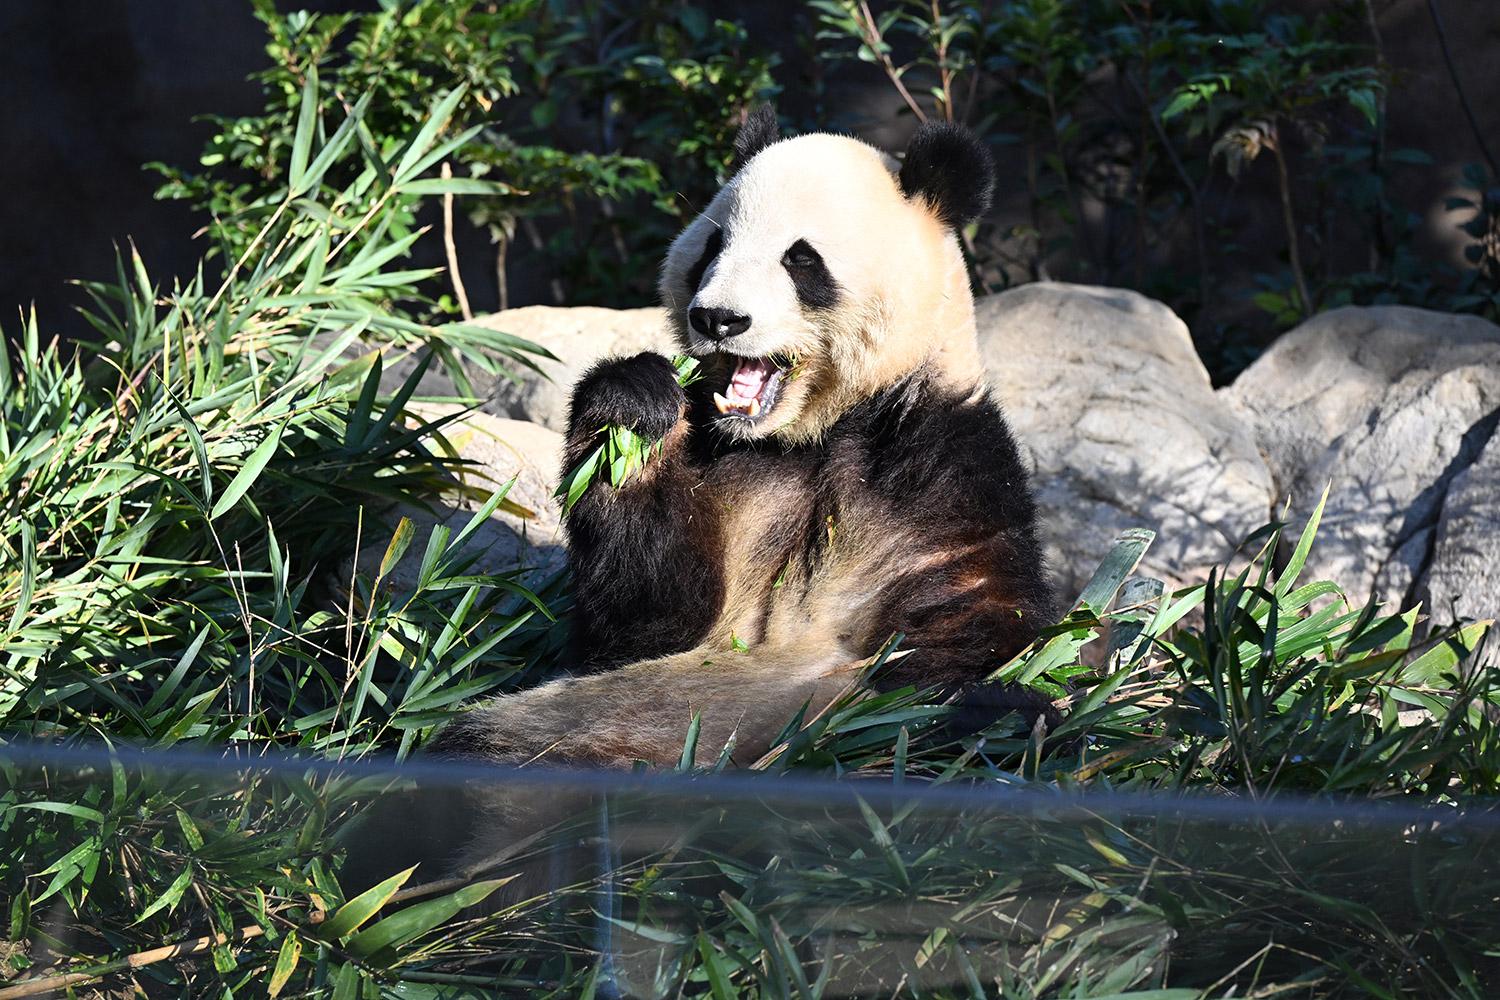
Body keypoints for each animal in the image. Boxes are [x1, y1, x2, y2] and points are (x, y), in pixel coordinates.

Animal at [429, 107, 1062, 767]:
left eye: (801, 260)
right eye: (713, 246)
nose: (718, 319)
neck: (812, 432)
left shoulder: (940, 470)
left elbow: (976, 629)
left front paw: (978, 709)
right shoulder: (725, 462)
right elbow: (644, 625)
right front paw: (632, 410)